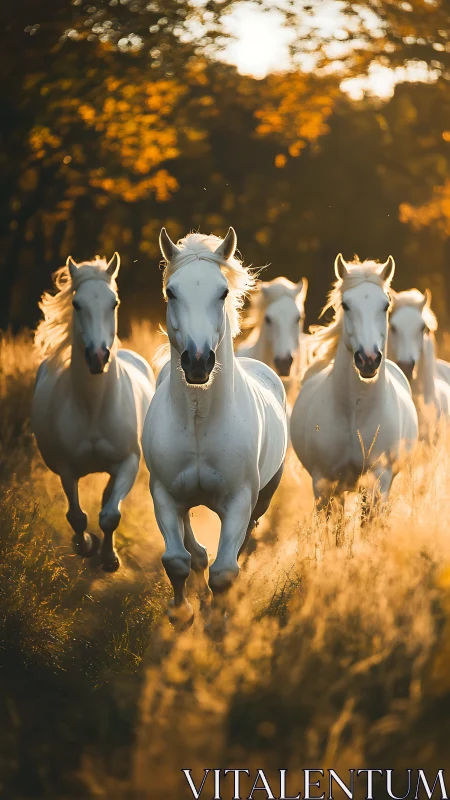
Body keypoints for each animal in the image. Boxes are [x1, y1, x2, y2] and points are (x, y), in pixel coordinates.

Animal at [32, 254, 155, 571]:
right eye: (77, 304)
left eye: (114, 303)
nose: (98, 357)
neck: (94, 409)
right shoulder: (65, 468)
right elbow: (77, 516)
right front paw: (86, 545)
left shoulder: (128, 462)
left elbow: (110, 514)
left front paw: (110, 559)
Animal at [142, 228, 287, 628]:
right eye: (171, 291)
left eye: (222, 292)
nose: (197, 362)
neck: (199, 421)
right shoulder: (163, 493)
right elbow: (177, 561)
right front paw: (181, 614)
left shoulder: (240, 500)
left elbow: (224, 571)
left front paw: (219, 622)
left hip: (264, 496)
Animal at [290, 254, 418, 518]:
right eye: (346, 305)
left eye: (385, 305)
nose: (368, 359)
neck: (355, 414)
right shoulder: (324, 484)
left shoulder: (378, 481)